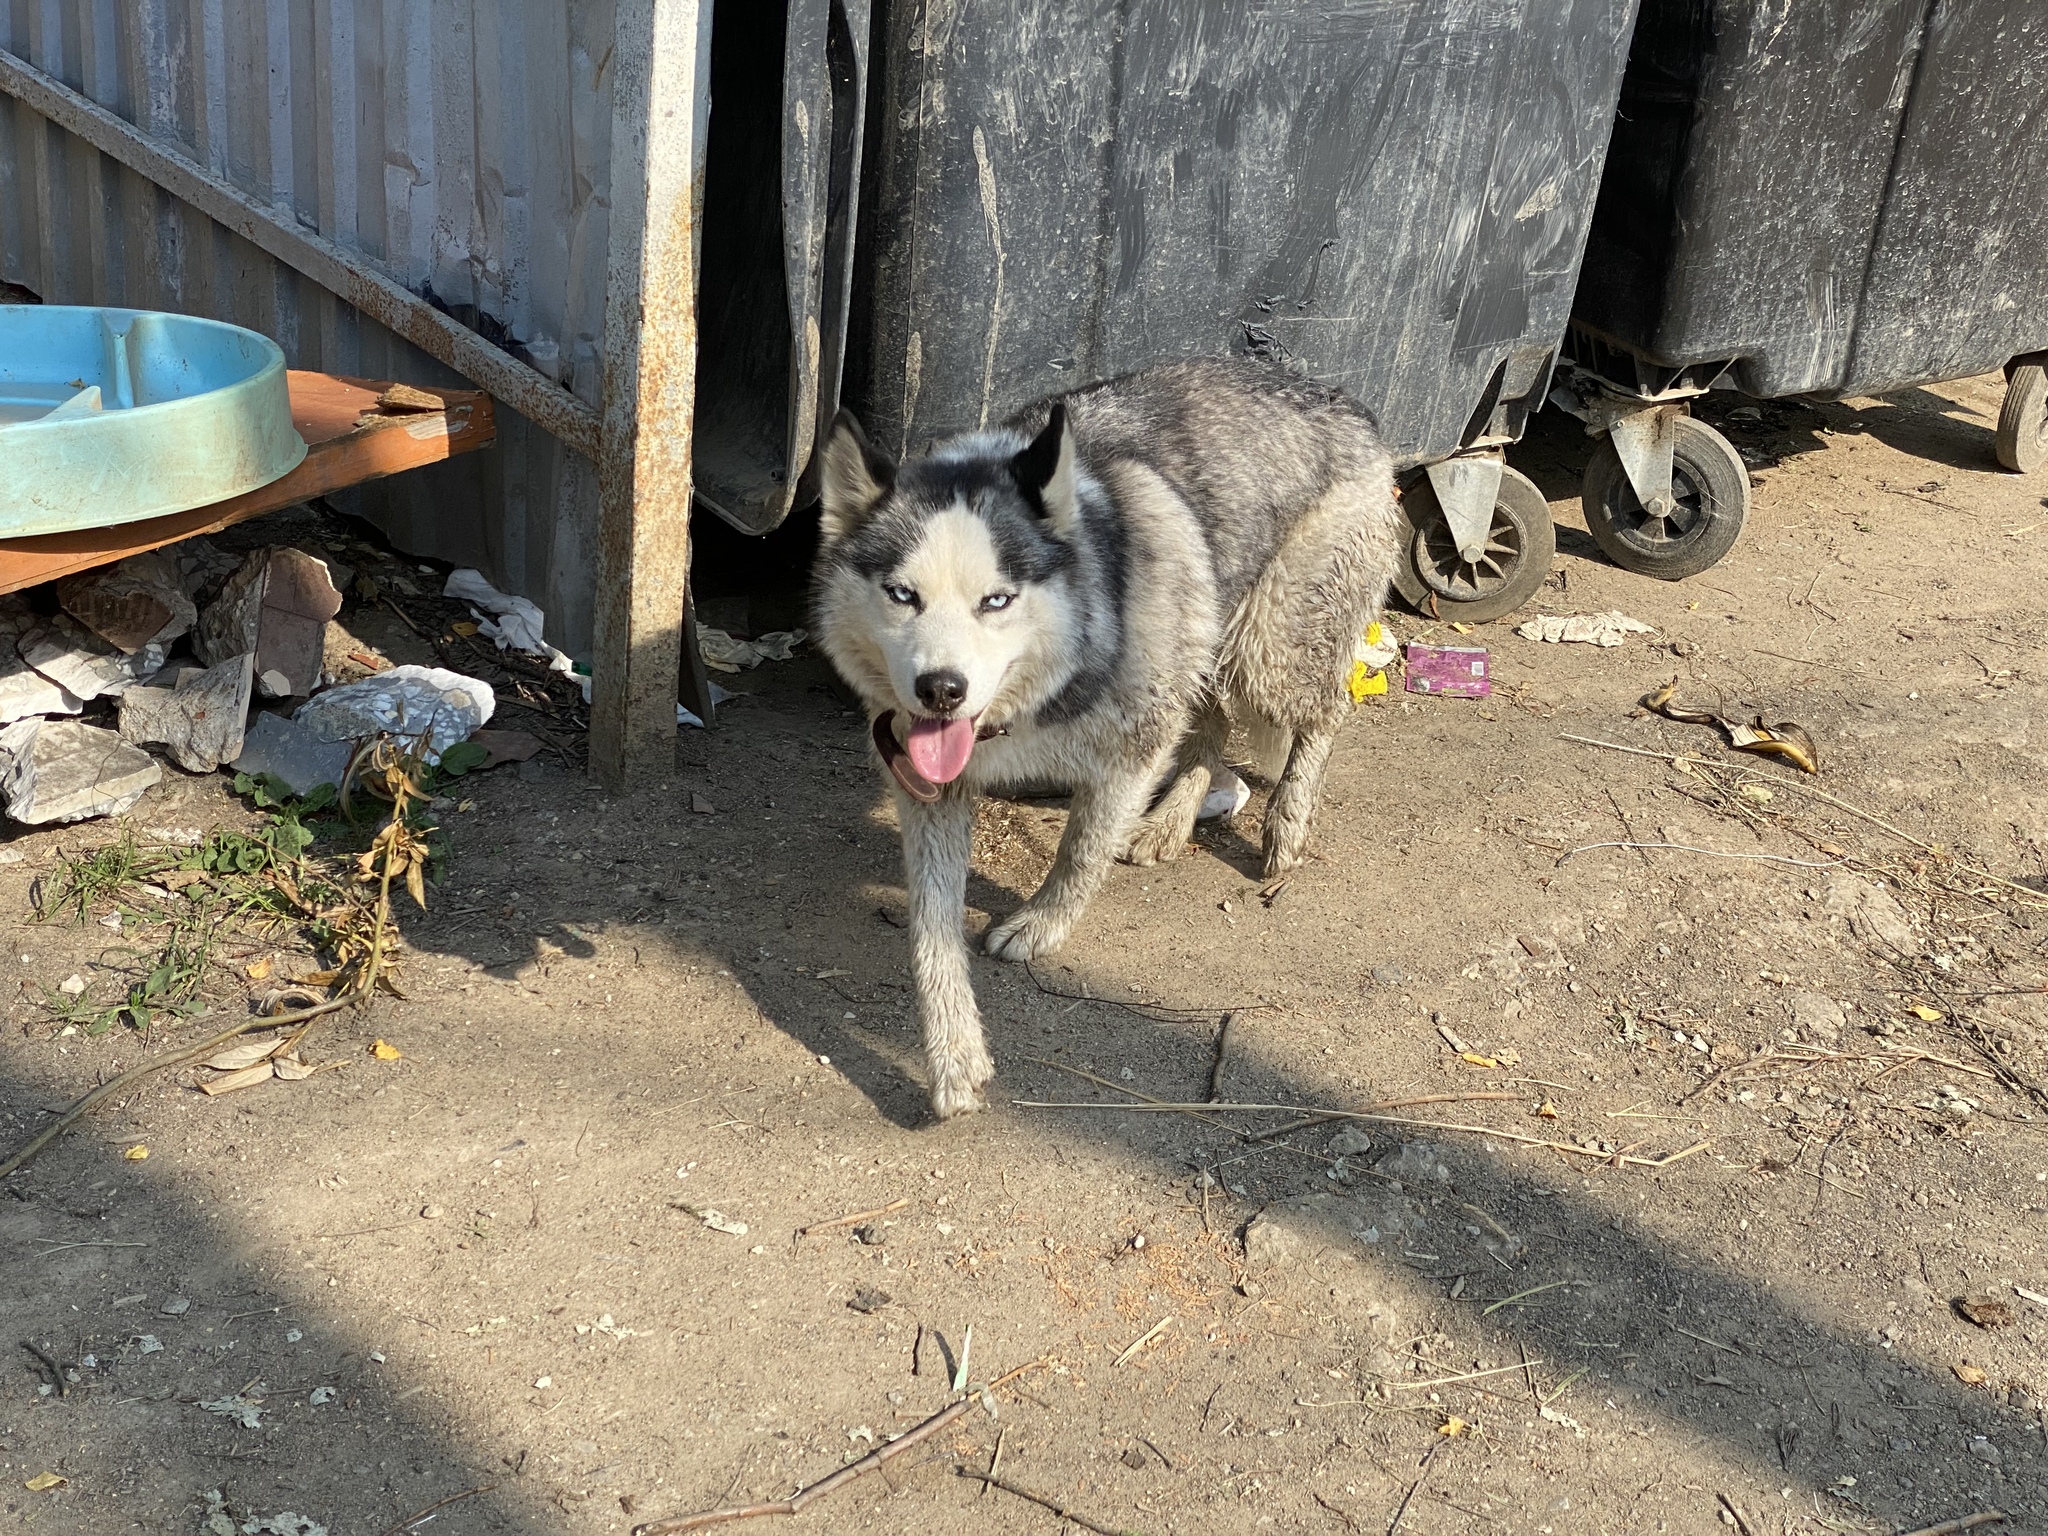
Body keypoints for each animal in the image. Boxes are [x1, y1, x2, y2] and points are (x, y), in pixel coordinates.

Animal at [806, 366, 1400, 1122]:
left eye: (997, 600)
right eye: (901, 594)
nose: (941, 690)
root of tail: (1336, 396)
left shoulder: (1134, 743)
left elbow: (1081, 850)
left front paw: (1042, 924)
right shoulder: (932, 791)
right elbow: (930, 930)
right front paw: (952, 1053)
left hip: (1268, 649)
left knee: (1325, 711)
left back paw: (1287, 822)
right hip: (1208, 640)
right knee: (1210, 722)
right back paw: (1171, 821)